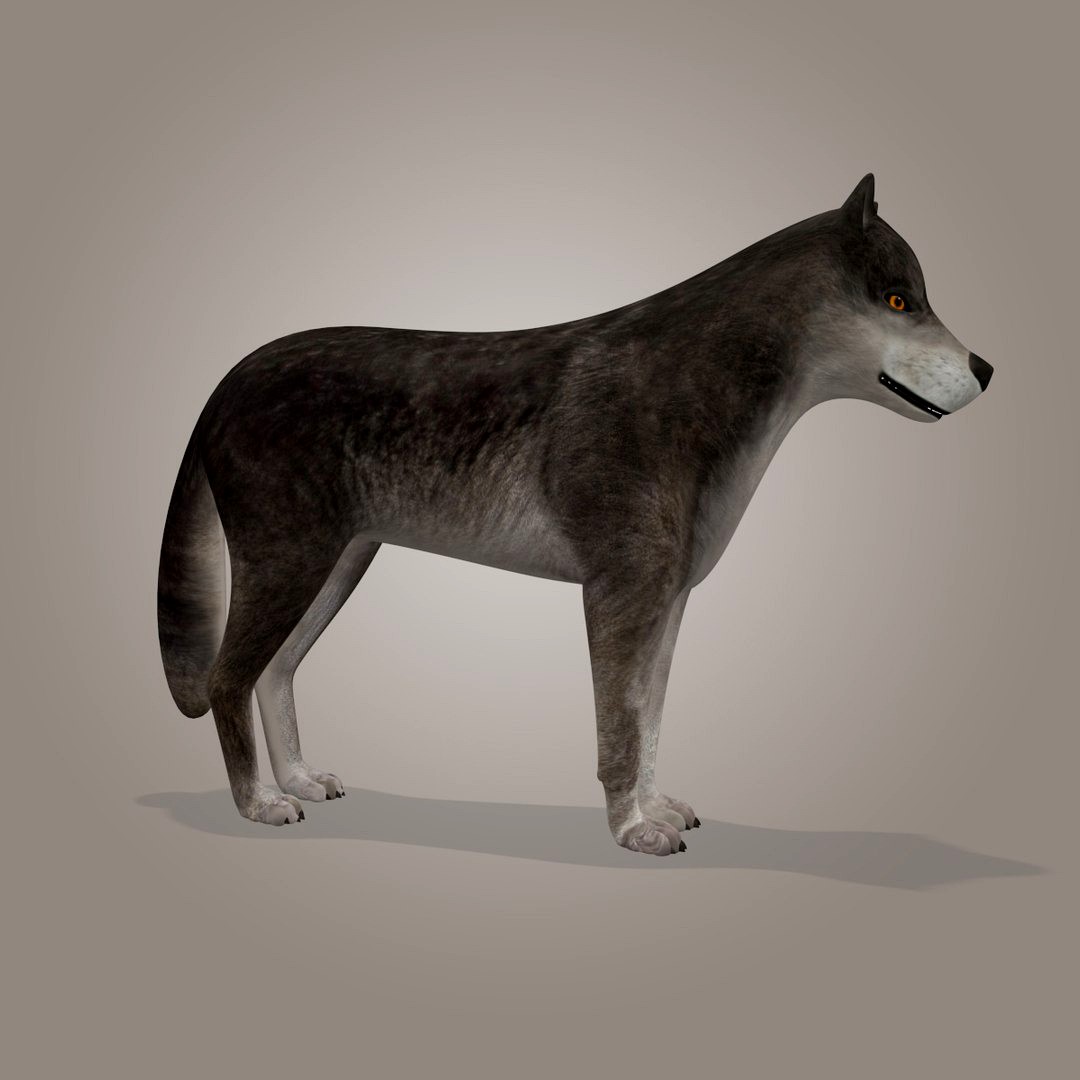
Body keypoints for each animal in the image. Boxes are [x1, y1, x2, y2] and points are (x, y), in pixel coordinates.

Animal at [157, 174, 992, 856]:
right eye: (899, 300)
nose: (986, 368)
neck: (700, 383)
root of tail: (224, 384)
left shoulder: (668, 600)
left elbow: (650, 722)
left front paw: (657, 808)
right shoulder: (618, 593)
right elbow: (618, 730)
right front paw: (633, 832)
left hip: (337, 563)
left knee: (276, 672)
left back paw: (299, 779)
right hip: (290, 561)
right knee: (230, 678)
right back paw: (260, 803)